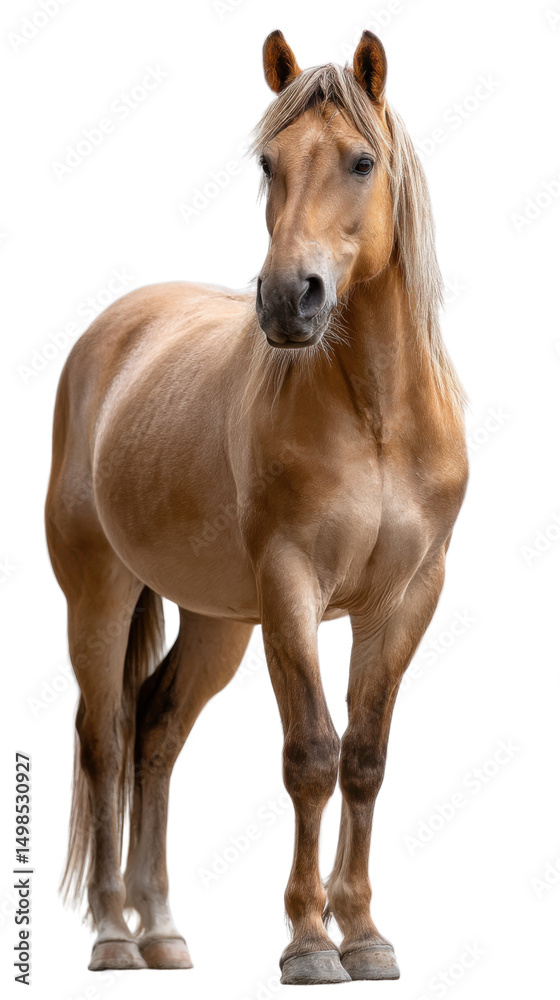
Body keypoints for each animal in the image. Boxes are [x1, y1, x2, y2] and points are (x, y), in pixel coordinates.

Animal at [45, 29, 468, 985]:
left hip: (216, 621)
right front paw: (309, 943)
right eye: (269, 163)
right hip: (100, 595)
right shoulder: (290, 589)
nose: (287, 299)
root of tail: (109, 336)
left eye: (361, 161)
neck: (377, 415)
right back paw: (113, 934)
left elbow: (365, 757)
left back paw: (163, 928)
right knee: (103, 737)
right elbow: (311, 754)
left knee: (156, 729)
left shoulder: (407, 598)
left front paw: (365, 934)